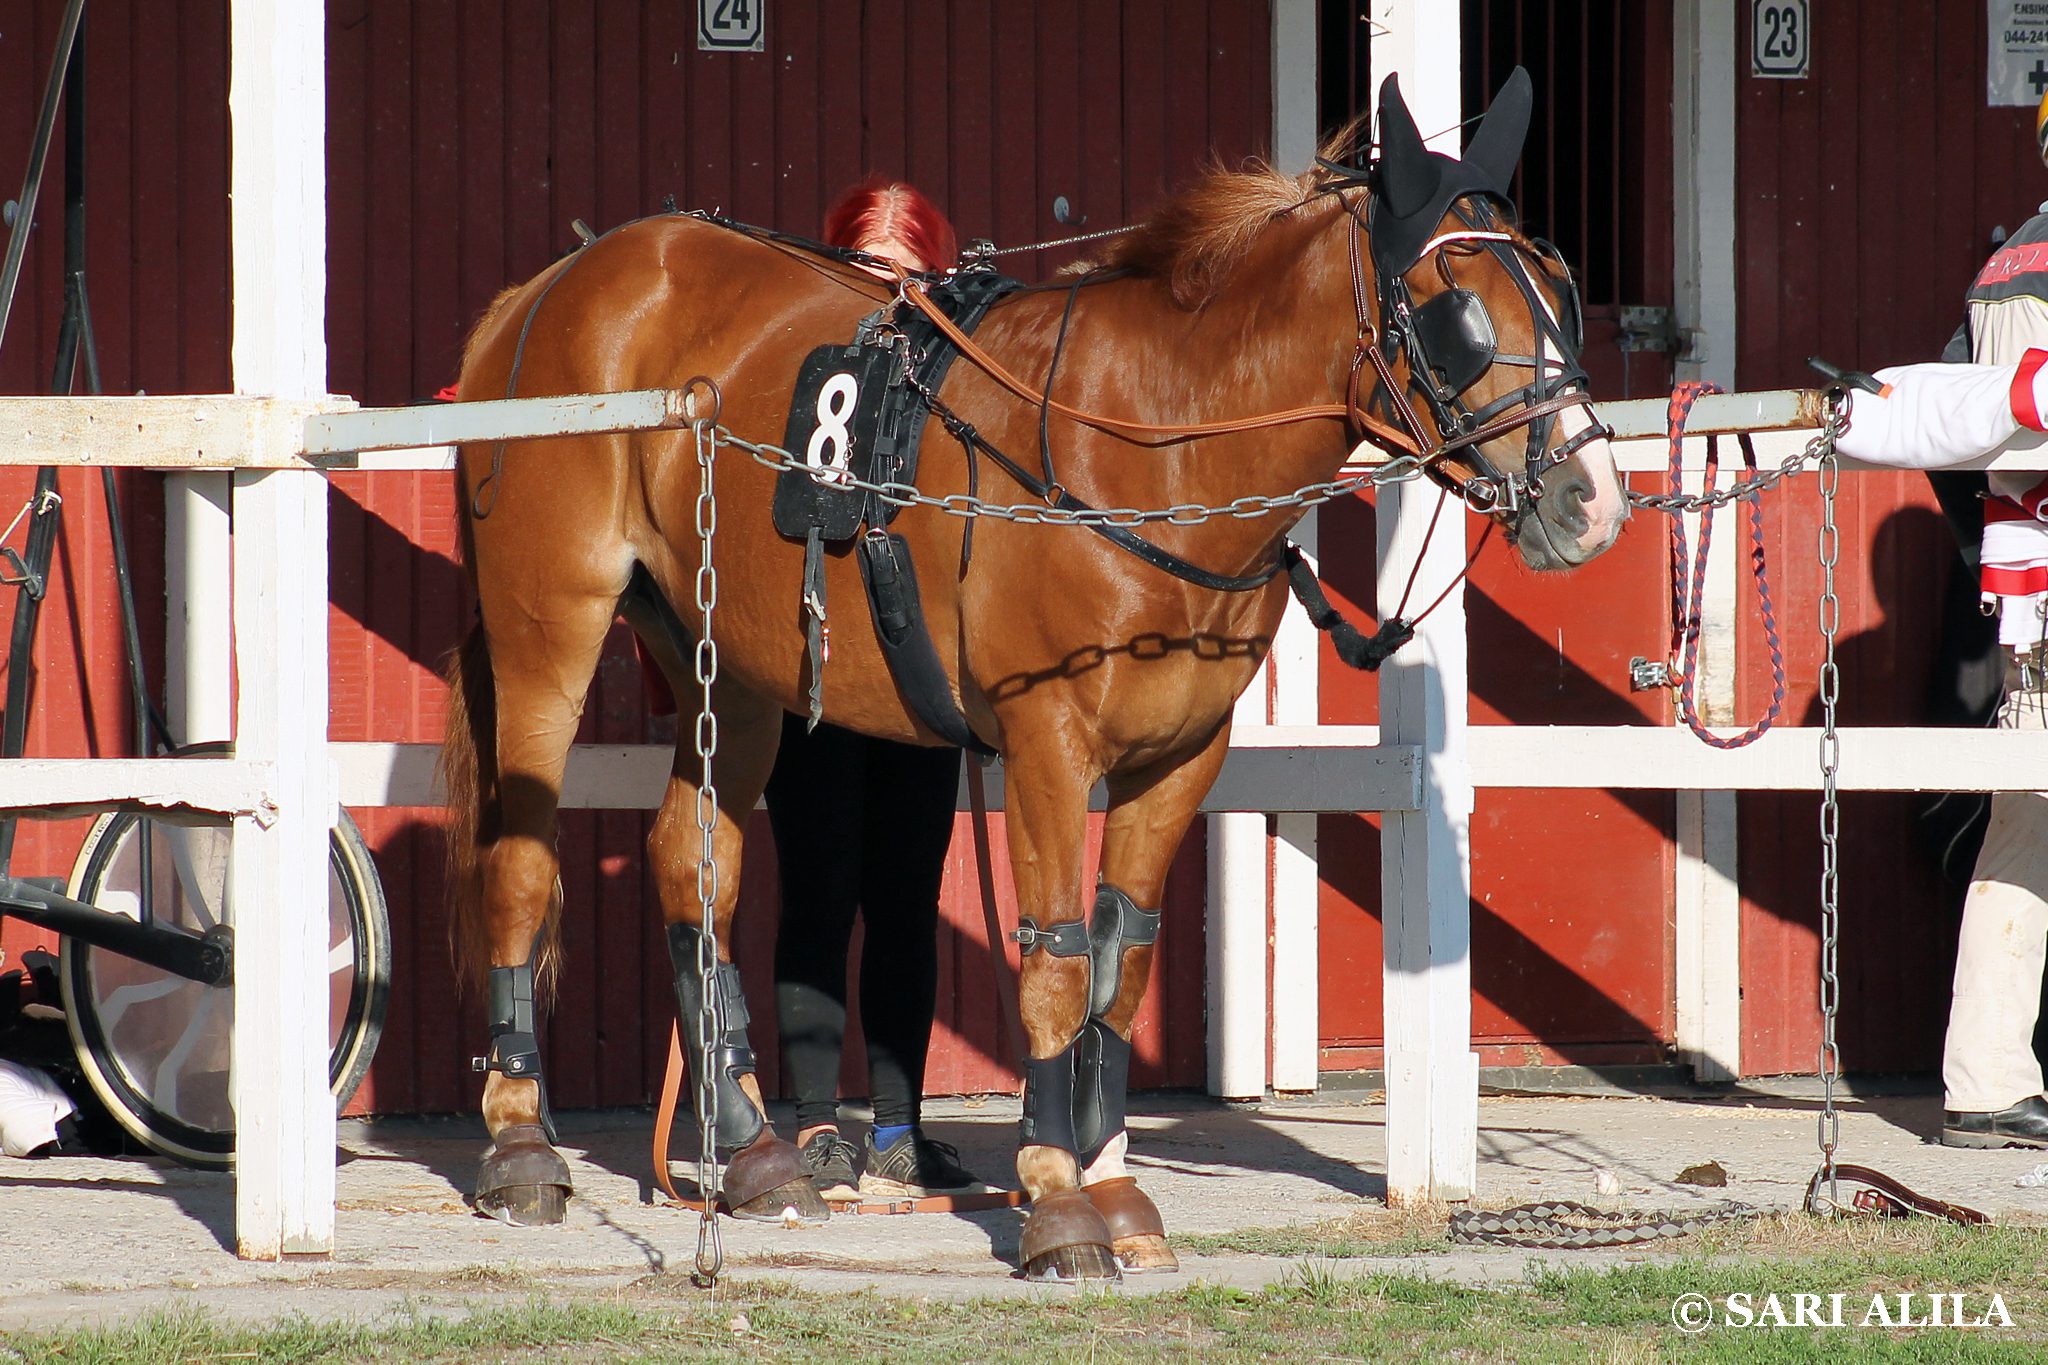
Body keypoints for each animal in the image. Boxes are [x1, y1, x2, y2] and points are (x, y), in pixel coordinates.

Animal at [439, 68, 1627, 1282]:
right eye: (1455, 302)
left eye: (1557, 289)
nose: (1591, 501)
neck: (1151, 438)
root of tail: (546, 292)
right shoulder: (1048, 742)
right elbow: (1054, 959)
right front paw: (1058, 1199)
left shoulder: (1180, 759)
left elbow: (1122, 960)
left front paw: (1113, 1183)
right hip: (549, 630)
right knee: (521, 864)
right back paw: (520, 1145)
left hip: (730, 668)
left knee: (693, 867)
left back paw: (755, 1149)